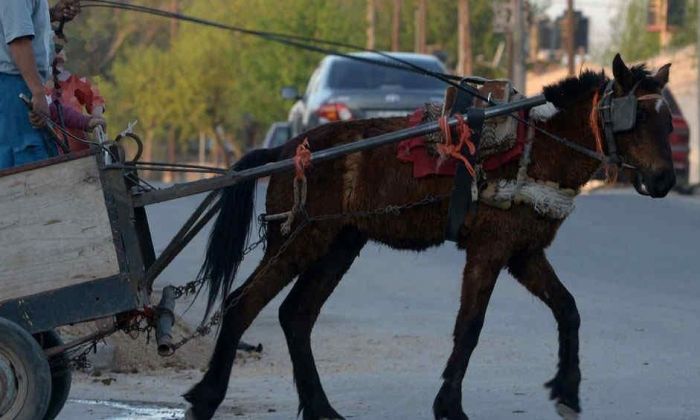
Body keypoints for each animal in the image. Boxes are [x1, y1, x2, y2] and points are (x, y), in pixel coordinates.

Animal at [183, 55, 676, 420]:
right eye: (636, 116)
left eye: (668, 120)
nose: (665, 180)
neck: (539, 149)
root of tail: (287, 151)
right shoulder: (489, 250)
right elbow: (469, 327)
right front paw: (449, 407)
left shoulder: (524, 253)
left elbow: (568, 310)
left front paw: (568, 392)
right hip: (300, 240)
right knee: (243, 303)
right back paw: (207, 396)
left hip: (339, 244)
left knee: (296, 315)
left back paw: (321, 407)